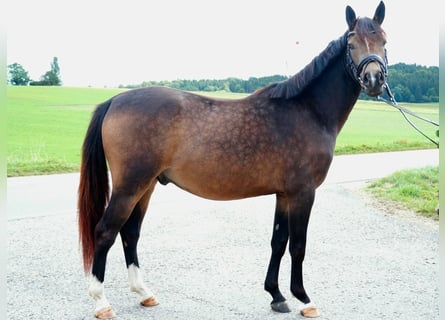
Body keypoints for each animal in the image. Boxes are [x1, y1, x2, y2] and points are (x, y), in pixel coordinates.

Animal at [78, 1, 386, 318]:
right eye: (351, 44)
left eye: (384, 41)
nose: (374, 79)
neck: (307, 111)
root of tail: (114, 101)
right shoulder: (303, 193)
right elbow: (298, 245)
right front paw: (304, 299)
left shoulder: (284, 194)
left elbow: (278, 242)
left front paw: (276, 295)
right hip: (130, 186)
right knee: (105, 232)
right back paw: (101, 301)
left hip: (146, 185)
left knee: (130, 232)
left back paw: (144, 293)